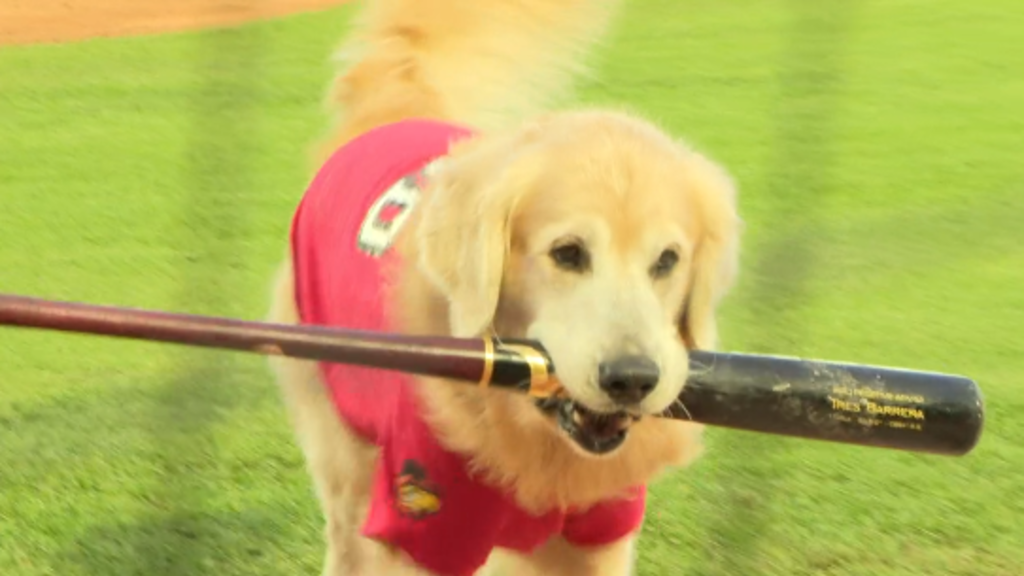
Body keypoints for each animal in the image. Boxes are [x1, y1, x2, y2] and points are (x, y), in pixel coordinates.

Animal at [268, 1, 741, 573]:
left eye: (668, 260)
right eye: (567, 252)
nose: (632, 379)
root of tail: (393, 115)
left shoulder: (599, 533)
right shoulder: (420, 526)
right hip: (345, 458)